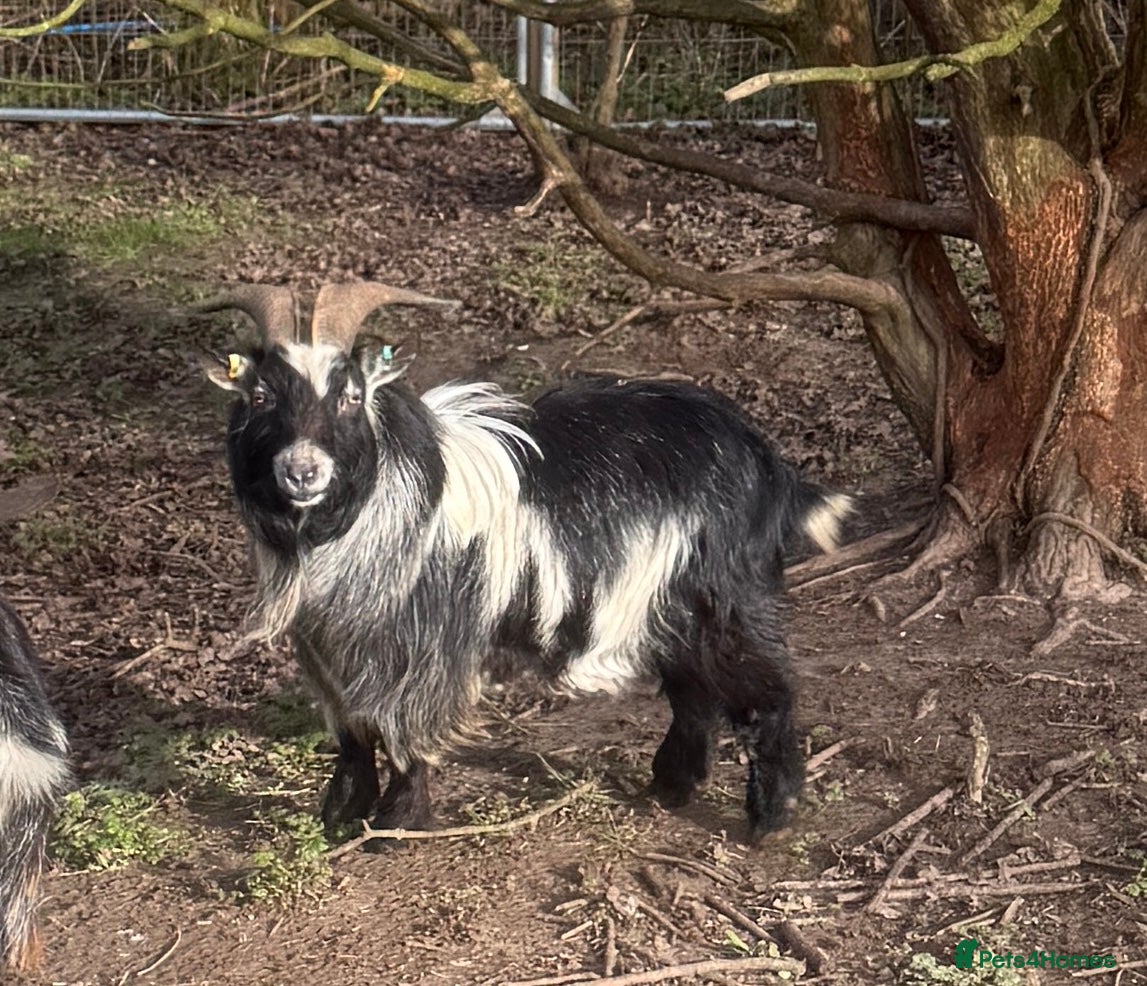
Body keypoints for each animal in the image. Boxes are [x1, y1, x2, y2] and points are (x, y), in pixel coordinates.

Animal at [204, 281, 851, 843]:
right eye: (260, 396)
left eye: (351, 396)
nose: (302, 470)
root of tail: (764, 458)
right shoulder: (330, 642)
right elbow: (352, 728)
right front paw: (341, 815)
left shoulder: (423, 643)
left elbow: (406, 731)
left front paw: (396, 825)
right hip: (666, 602)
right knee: (693, 689)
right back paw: (671, 787)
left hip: (727, 595)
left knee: (768, 688)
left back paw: (772, 815)